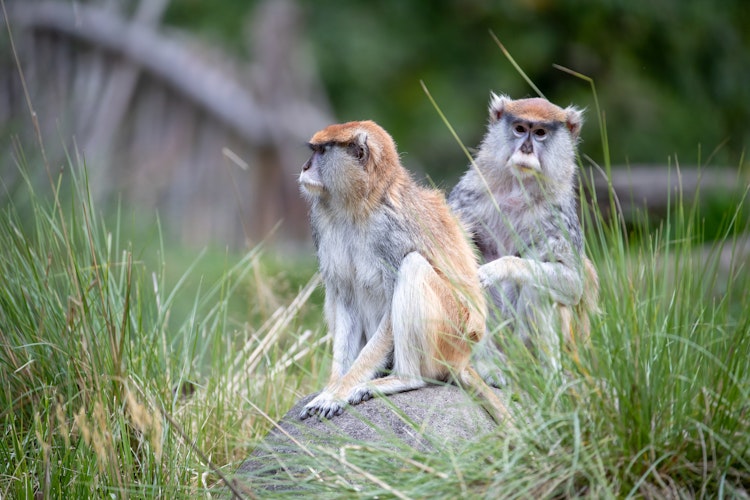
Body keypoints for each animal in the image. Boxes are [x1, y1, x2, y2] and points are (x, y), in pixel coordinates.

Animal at [300, 120, 512, 422]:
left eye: (321, 151)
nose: (305, 167)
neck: (361, 204)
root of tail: (462, 359)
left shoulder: (391, 233)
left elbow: (390, 311)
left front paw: (338, 393)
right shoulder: (325, 225)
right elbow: (346, 302)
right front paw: (332, 387)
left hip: (450, 335)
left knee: (413, 266)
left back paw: (403, 378)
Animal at [450, 94, 604, 382]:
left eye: (541, 133)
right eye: (520, 129)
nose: (526, 149)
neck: (517, 189)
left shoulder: (558, 216)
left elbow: (573, 283)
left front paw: (501, 268)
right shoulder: (470, 194)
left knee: (537, 287)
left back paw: (548, 376)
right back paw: (489, 365)